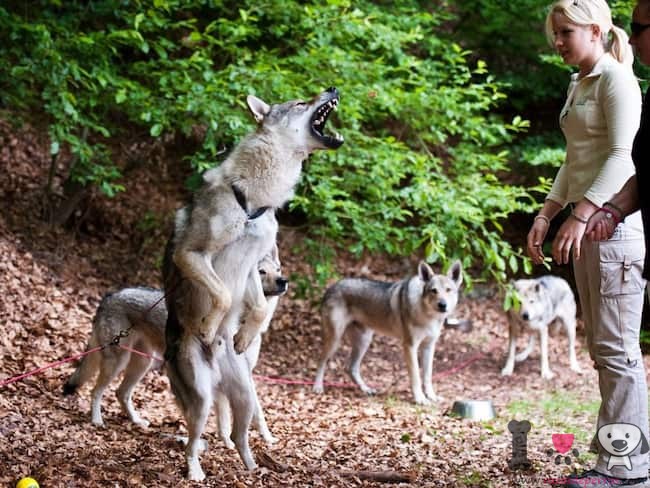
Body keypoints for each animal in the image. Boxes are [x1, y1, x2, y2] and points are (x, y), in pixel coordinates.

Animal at [162, 87, 342, 480]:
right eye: (301, 102)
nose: (334, 88)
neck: (255, 200)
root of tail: (217, 376)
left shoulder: (251, 268)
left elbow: (257, 307)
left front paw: (243, 336)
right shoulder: (193, 254)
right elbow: (223, 295)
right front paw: (210, 325)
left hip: (245, 396)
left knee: (239, 435)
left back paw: (253, 468)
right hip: (201, 402)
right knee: (194, 441)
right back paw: (196, 472)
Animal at [312, 262, 460, 406]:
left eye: (448, 290)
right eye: (433, 291)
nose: (442, 304)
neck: (427, 315)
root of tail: (332, 286)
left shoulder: (429, 347)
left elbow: (427, 376)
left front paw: (432, 396)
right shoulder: (410, 346)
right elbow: (416, 377)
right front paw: (420, 399)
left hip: (364, 342)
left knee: (351, 368)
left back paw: (366, 389)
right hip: (335, 340)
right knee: (321, 361)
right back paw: (317, 387)